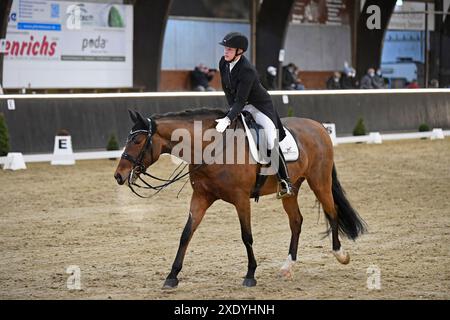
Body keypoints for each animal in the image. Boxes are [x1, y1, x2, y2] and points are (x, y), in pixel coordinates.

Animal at [114, 109, 368, 288]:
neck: (212, 148)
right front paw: (172, 276)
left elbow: (247, 237)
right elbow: (186, 234)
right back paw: (287, 267)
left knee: (332, 211)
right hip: (291, 189)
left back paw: (340, 254)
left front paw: (250, 274)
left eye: (137, 141)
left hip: (319, 181)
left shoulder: (241, 199)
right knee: (296, 221)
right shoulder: (201, 198)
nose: (119, 175)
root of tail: (318, 126)